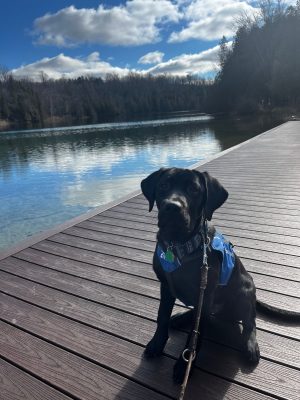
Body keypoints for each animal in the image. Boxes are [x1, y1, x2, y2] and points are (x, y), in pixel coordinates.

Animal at [141, 167, 260, 382]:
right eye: (163, 185)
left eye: (194, 190)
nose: (172, 207)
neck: (178, 245)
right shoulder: (166, 286)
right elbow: (162, 317)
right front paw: (156, 344)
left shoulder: (205, 291)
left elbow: (194, 337)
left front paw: (184, 365)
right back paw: (181, 317)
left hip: (246, 289)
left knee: (249, 321)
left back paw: (250, 346)